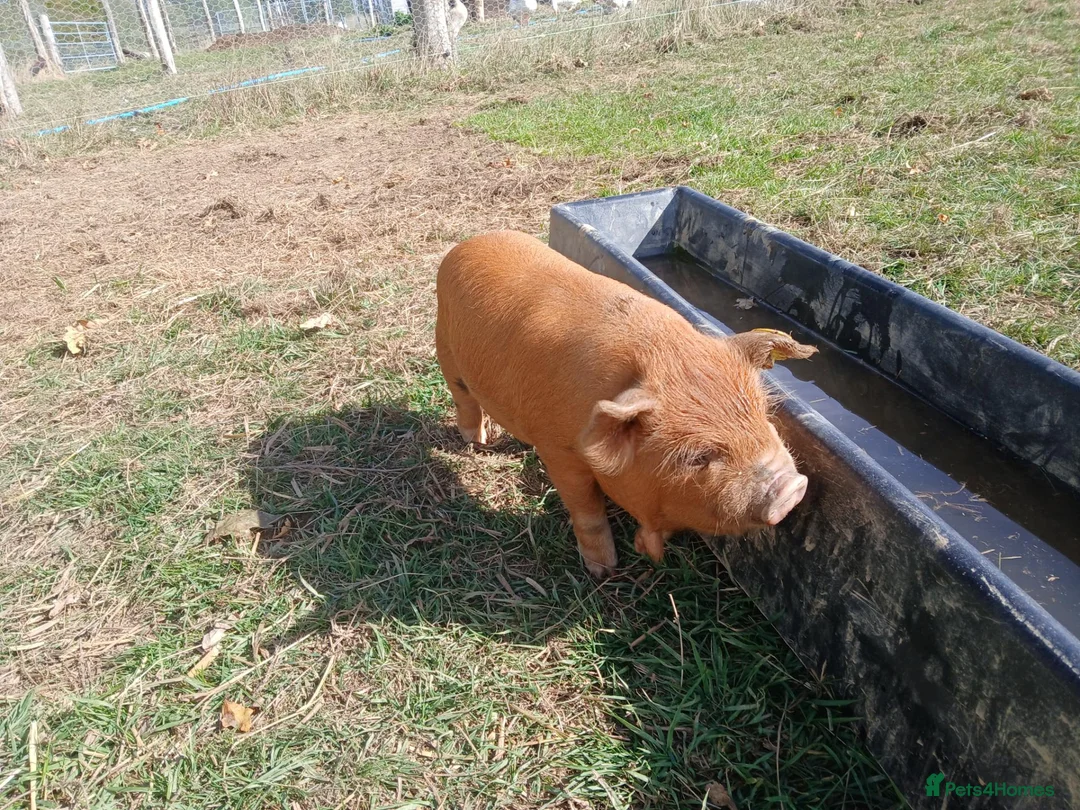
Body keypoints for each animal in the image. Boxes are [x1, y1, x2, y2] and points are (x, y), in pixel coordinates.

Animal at [435, 231, 817, 578]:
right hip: (445, 349)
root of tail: (468, 244)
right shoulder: (558, 449)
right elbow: (586, 509)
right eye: (698, 457)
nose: (793, 489)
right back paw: (477, 441)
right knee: (463, 398)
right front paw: (604, 570)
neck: (666, 357)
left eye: (763, 415)